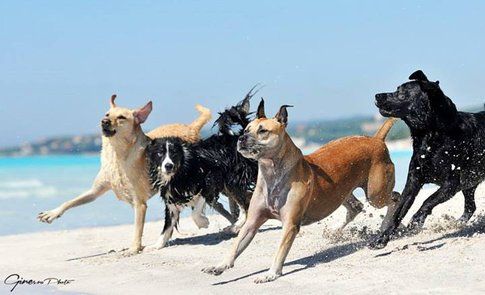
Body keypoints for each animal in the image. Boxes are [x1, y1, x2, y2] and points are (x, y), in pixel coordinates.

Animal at [36, 94, 211, 254]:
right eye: (107, 114)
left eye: (121, 117)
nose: (104, 121)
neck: (117, 154)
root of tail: (191, 127)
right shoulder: (95, 191)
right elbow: (70, 201)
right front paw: (51, 214)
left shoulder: (139, 203)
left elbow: (137, 229)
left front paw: (133, 248)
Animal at [200, 100, 398, 284]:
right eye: (246, 129)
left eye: (263, 131)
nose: (241, 138)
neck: (272, 175)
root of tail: (376, 140)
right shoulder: (252, 222)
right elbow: (235, 246)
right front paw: (220, 266)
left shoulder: (290, 225)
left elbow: (280, 250)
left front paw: (271, 274)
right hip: (341, 192)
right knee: (356, 207)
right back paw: (336, 230)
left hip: (376, 194)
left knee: (394, 198)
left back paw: (387, 224)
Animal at [368, 70, 484, 250]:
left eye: (401, 92)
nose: (377, 95)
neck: (430, 135)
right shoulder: (413, 182)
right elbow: (398, 212)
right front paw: (382, 238)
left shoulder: (451, 184)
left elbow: (427, 201)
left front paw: (416, 221)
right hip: (470, 184)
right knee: (471, 206)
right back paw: (459, 223)